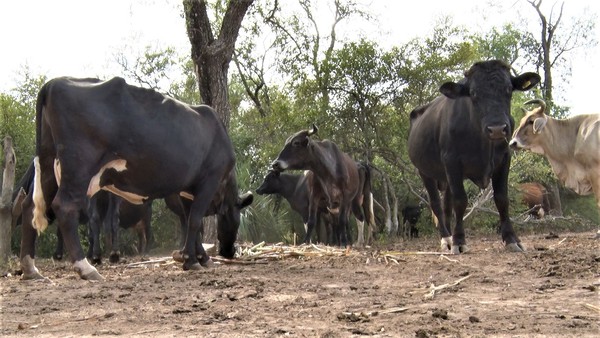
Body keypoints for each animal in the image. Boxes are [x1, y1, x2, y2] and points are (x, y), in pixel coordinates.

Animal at [19, 76, 252, 280]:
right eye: (236, 220)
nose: (229, 252)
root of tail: (53, 82)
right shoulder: (209, 180)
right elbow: (195, 221)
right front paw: (192, 260)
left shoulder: (186, 190)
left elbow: (191, 222)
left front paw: (199, 257)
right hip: (78, 167)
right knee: (65, 208)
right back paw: (86, 267)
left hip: (49, 165)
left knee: (30, 208)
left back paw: (30, 269)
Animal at [408, 60, 540, 254]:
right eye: (473, 93)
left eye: (508, 89)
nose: (497, 129)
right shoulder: (452, 161)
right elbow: (461, 201)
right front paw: (459, 241)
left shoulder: (504, 158)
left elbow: (502, 198)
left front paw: (511, 239)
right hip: (425, 171)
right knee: (436, 204)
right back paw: (447, 239)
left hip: (445, 176)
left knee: (446, 205)